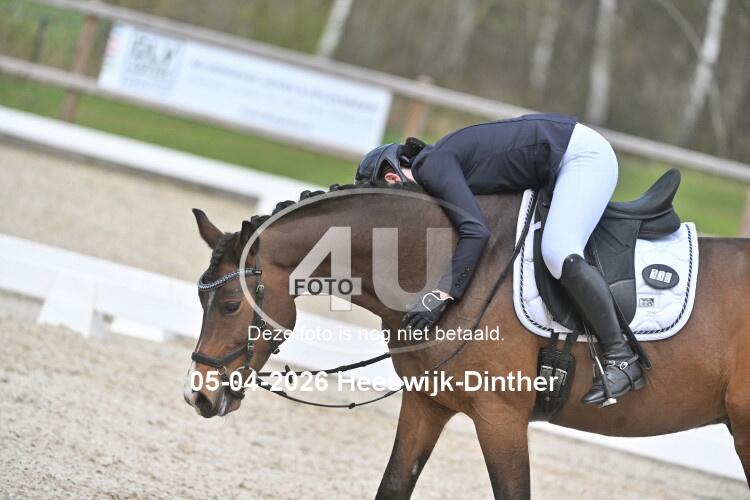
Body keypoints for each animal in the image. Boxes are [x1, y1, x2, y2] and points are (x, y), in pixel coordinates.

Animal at [184, 182, 750, 499]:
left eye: (230, 304)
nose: (200, 396)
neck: (441, 263)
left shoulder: (500, 418)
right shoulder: (426, 404)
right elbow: (394, 486)